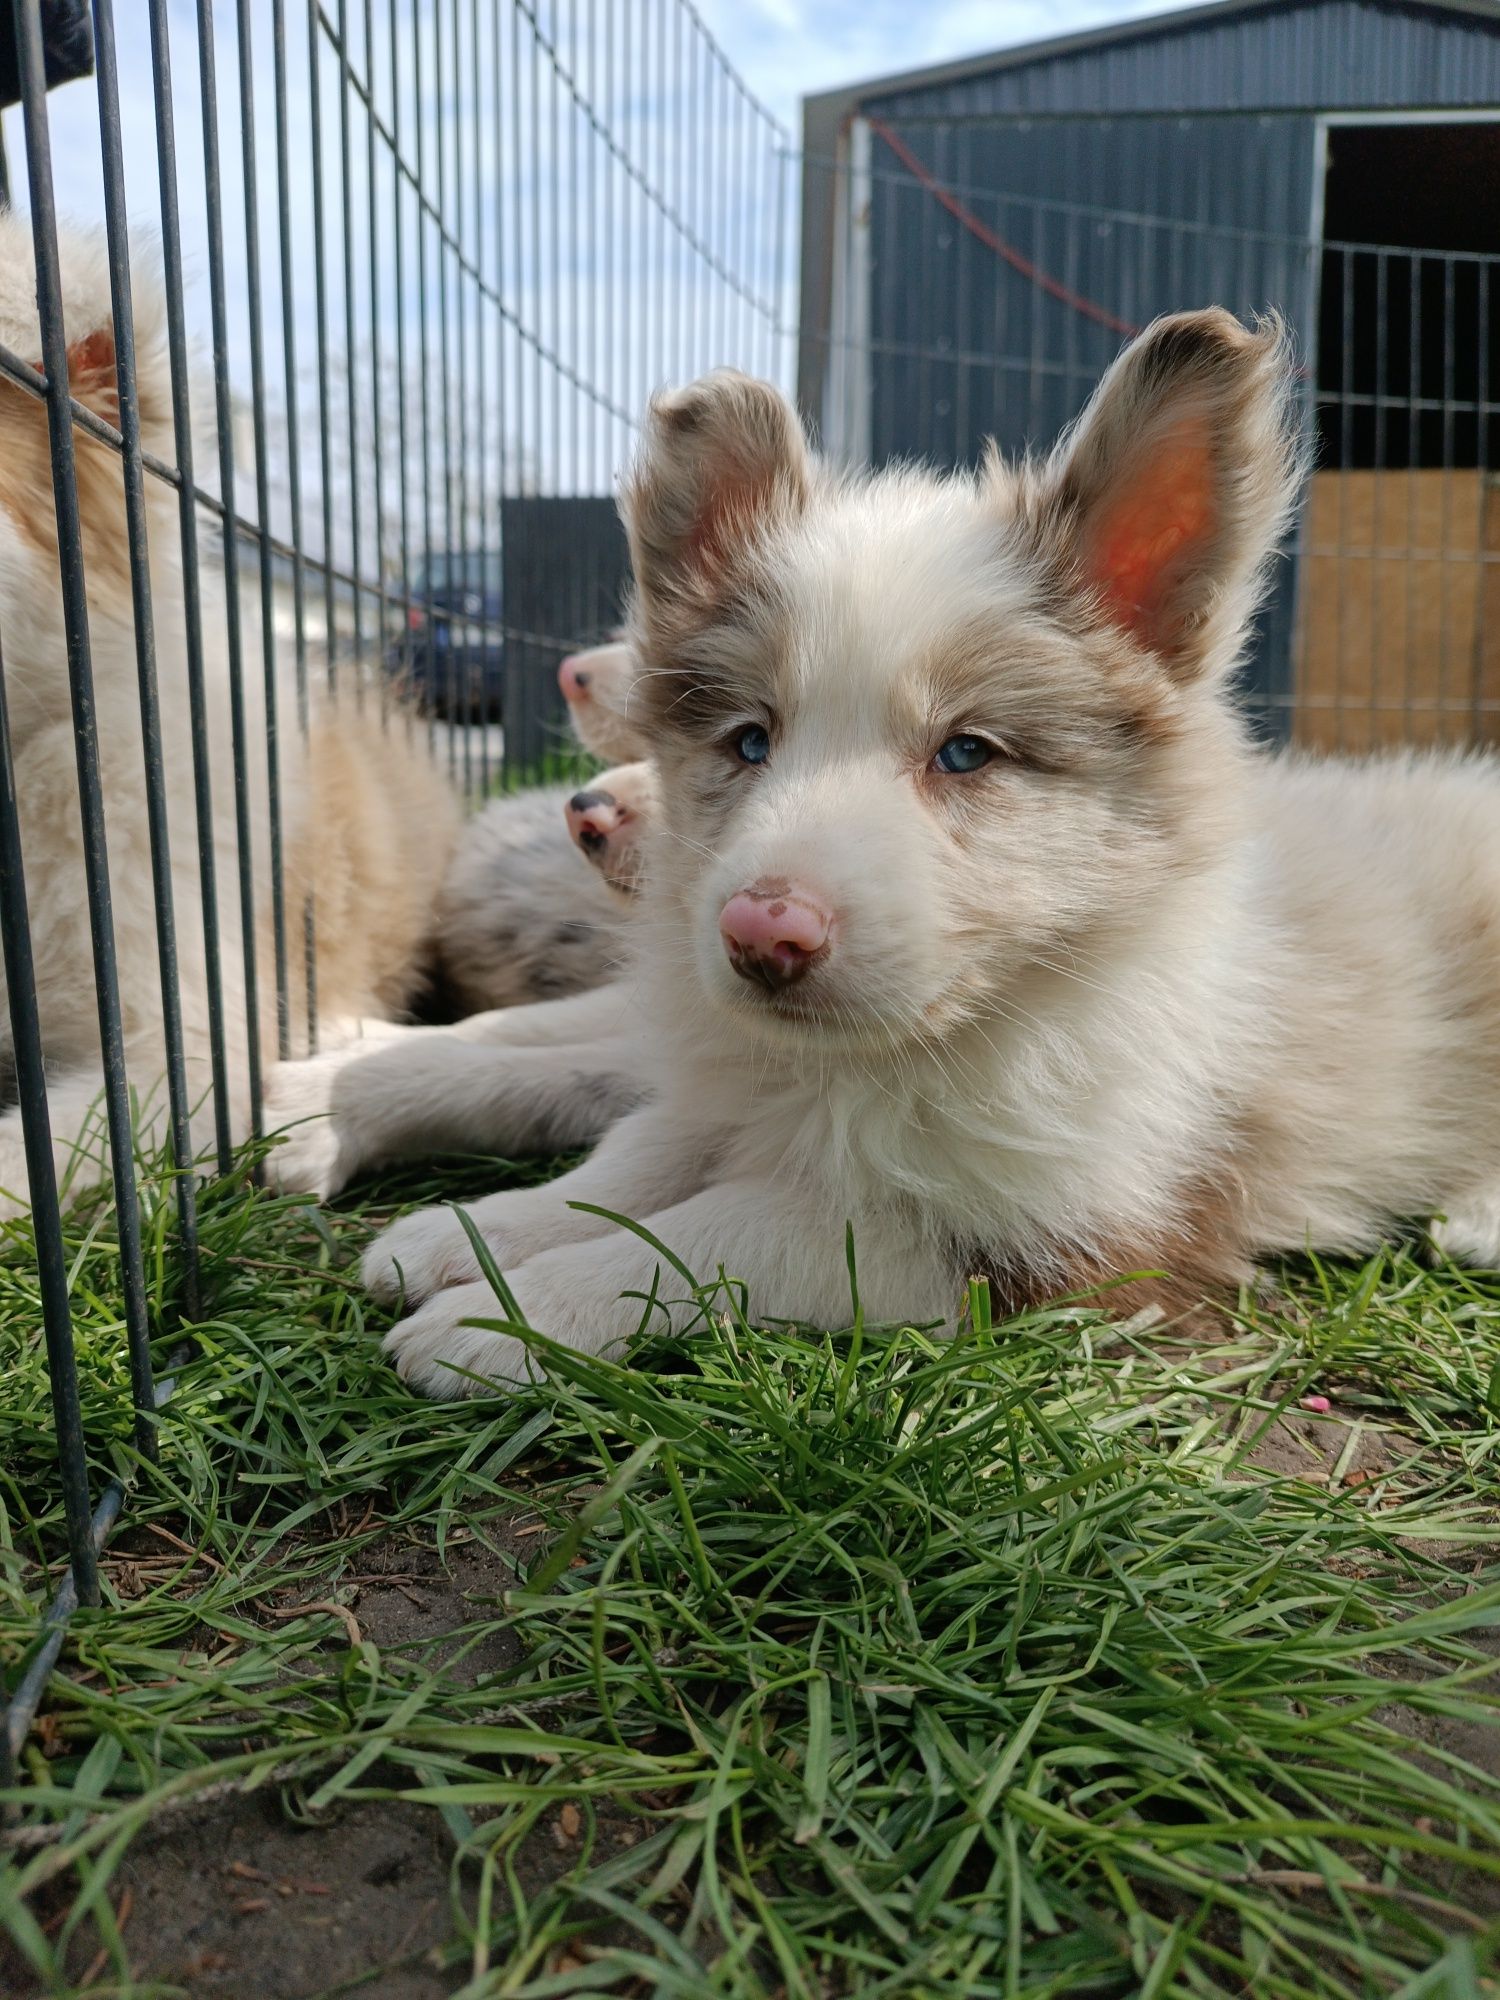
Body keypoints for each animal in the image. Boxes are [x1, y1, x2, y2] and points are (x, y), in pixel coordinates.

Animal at [282, 308, 1500, 1392]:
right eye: (750, 740)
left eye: (966, 752)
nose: (761, 935)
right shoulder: (736, 1075)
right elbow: (630, 1148)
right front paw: (469, 1232)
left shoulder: (1041, 1235)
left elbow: (724, 1227)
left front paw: (504, 1316)